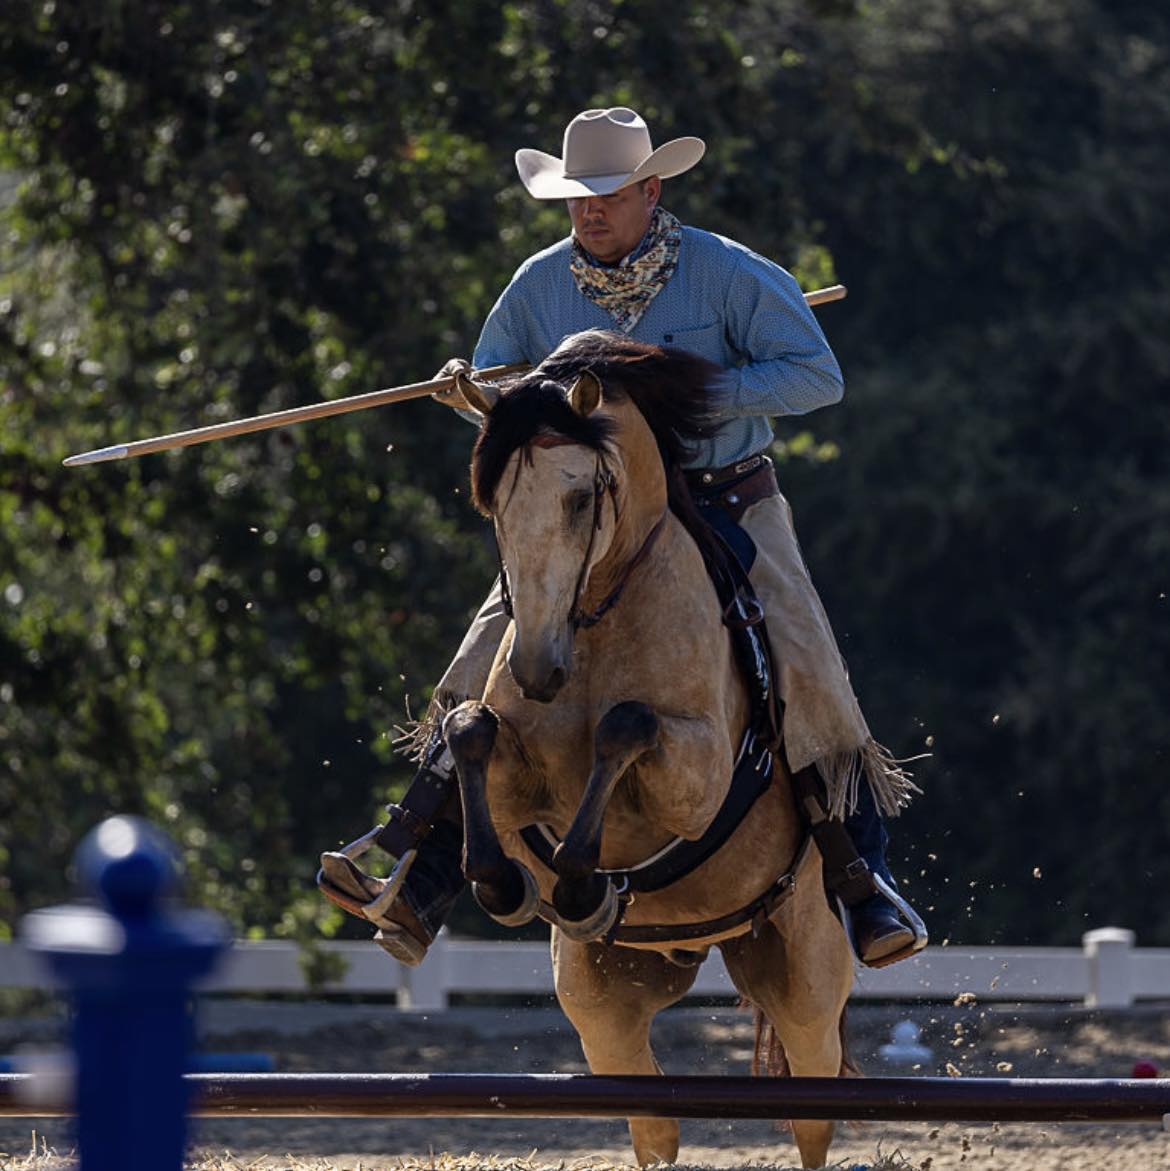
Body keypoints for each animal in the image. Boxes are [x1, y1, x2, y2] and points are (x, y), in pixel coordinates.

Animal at [442, 327, 857, 1161]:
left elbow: (625, 726)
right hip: (605, 1003)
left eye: (579, 497)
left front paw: (579, 882)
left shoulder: (696, 779)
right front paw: (502, 882)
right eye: (495, 503)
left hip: (807, 985)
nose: (537, 666)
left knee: (811, 1115)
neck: (597, 626)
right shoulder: (512, 772)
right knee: (654, 1124)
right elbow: (470, 729)